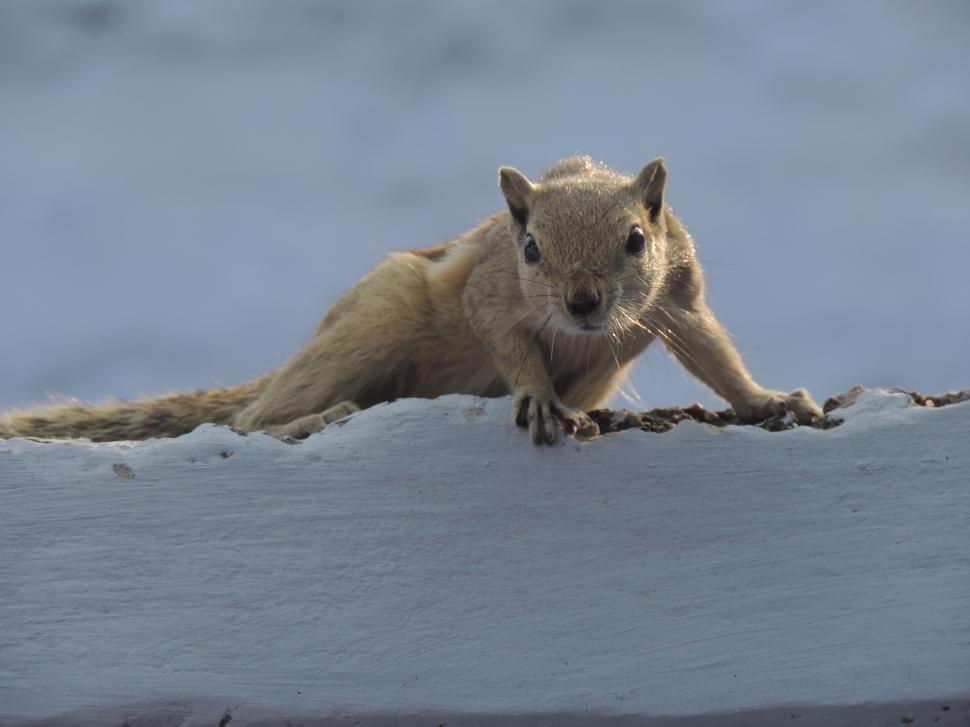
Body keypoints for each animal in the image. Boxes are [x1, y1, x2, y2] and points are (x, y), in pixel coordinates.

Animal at [0, 156, 822, 444]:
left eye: (635, 240)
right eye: (530, 249)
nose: (584, 304)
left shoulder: (676, 298)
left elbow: (714, 356)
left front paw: (770, 400)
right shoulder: (492, 296)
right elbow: (509, 342)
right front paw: (536, 397)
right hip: (371, 325)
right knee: (246, 422)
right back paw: (312, 418)